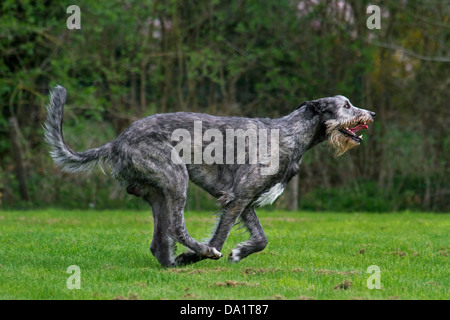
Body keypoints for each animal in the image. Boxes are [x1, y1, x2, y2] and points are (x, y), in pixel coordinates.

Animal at [44, 85, 374, 268]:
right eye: (346, 105)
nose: (370, 114)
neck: (289, 134)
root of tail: (116, 142)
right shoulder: (237, 198)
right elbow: (221, 235)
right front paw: (201, 256)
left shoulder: (246, 201)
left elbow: (261, 238)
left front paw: (239, 253)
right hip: (176, 178)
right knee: (176, 228)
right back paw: (195, 254)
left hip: (158, 193)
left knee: (159, 241)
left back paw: (171, 265)